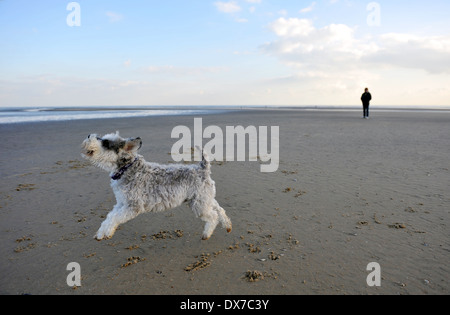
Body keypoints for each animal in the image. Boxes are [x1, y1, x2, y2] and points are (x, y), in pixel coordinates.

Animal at [80, 132, 232, 241]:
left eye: (106, 142)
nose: (88, 135)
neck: (126, 169)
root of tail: (203, 168)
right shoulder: (121, 204)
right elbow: (110, 217)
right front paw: (102, 232)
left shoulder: (132, 206)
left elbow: (115, 218)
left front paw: (106, 232)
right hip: (205, 199)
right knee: (220, 209)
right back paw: (227, 225)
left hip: (199, 205)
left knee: (213, 216)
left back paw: (206, 234)